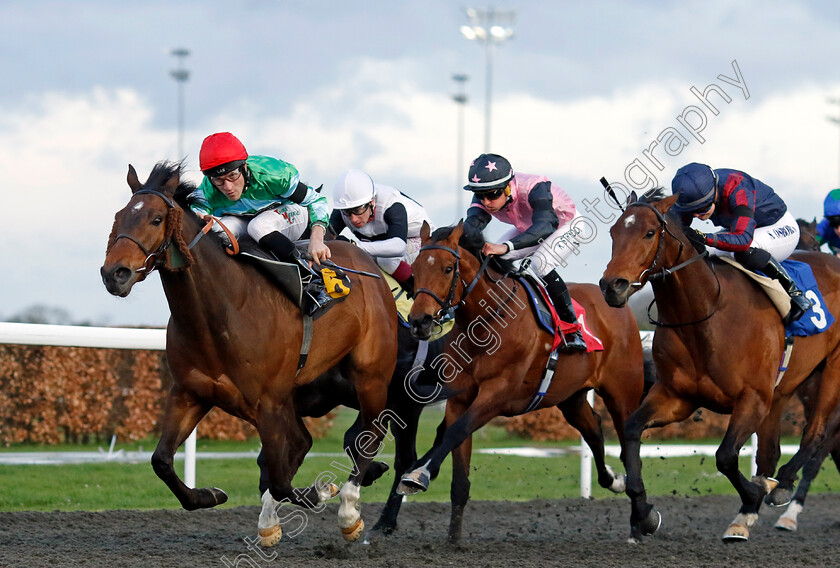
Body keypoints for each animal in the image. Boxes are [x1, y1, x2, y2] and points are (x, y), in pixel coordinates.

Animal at [100, 162, 398, 544]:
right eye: (119, 217)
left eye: (155, 219)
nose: (114, 274)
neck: (222, 309)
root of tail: (367, 262)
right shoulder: (191, 393)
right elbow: (162, 460)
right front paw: (210, 495)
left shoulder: (267, 402)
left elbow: (284, 480)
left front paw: (321, 491)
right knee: (305, 444)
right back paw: (273, 519)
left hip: (370, 375)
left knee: (369, 434)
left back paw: (349, 510)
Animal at [394, 220, 644, 544]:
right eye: (415, 268)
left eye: (448, 269)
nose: (419, 321)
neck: (487, 321)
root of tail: (618, 305)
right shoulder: (460, 397)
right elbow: (457, 466)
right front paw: (453, 539)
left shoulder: (497, 395)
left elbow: (456, 431)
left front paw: (418, 475)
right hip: (571, 398)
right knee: (595, 430)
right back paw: (614, 481)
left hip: (622, 393)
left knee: (629, 444)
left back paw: (643, 519)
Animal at [600, 191, 840, 540]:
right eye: (614, 232)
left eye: (649, 233)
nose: (611, 286)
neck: (706, 314)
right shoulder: (677, 396)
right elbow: (630, 430)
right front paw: (643, 515)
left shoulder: (753, 397)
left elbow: (725, 456)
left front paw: (752, 498)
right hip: (786, 389)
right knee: (773, 450)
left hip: (831, 371)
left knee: (816, 433)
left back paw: (781, 486)